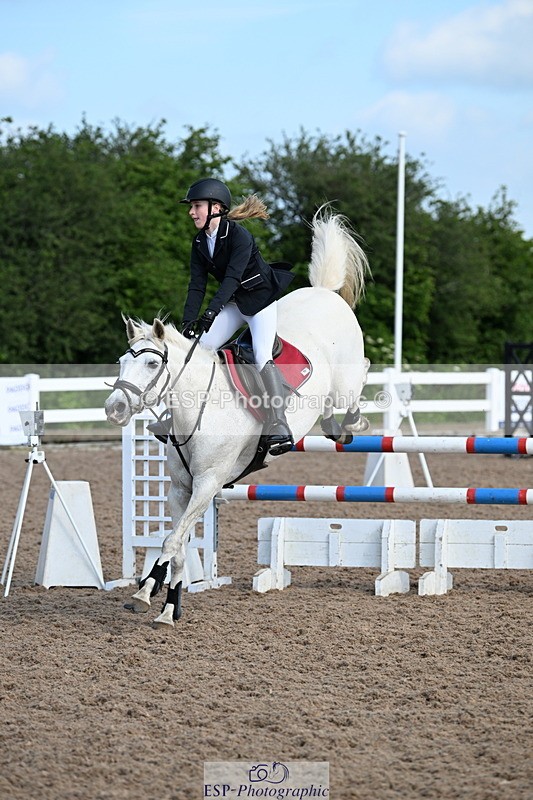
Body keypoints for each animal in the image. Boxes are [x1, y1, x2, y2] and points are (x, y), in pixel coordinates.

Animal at [104, 208, 371, 628]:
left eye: (151, 363)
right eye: (121, 361)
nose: (114, 407)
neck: (199, 411)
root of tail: (325, 293)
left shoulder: (208, 484)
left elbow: (171, 540)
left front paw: (151, 596)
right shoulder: (180, 488)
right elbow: (176, 543)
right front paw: (162, 601)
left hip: (345, 379)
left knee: (361, 374)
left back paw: (351, 425)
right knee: (332, 405)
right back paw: (334, 427)